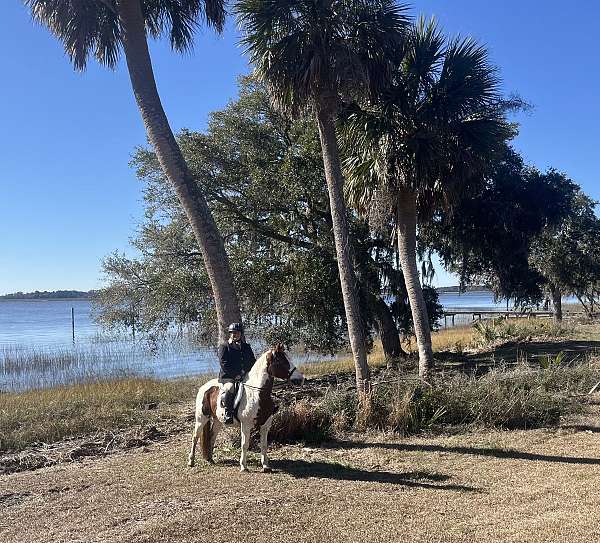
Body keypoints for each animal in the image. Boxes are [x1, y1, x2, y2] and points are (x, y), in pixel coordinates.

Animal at [188, 344, 304, 472]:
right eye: (281, 361)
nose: (300, 379)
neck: (257, 394)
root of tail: (204, 387)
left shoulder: (265, 425)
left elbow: (264, 445)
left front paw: (266, 465)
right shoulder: (246, 425)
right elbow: (245, 444)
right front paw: (243, 466)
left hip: (218, 420)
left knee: (212, 437)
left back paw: (210, 459)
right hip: (201, 419)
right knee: (195, 437)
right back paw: (191, 461)